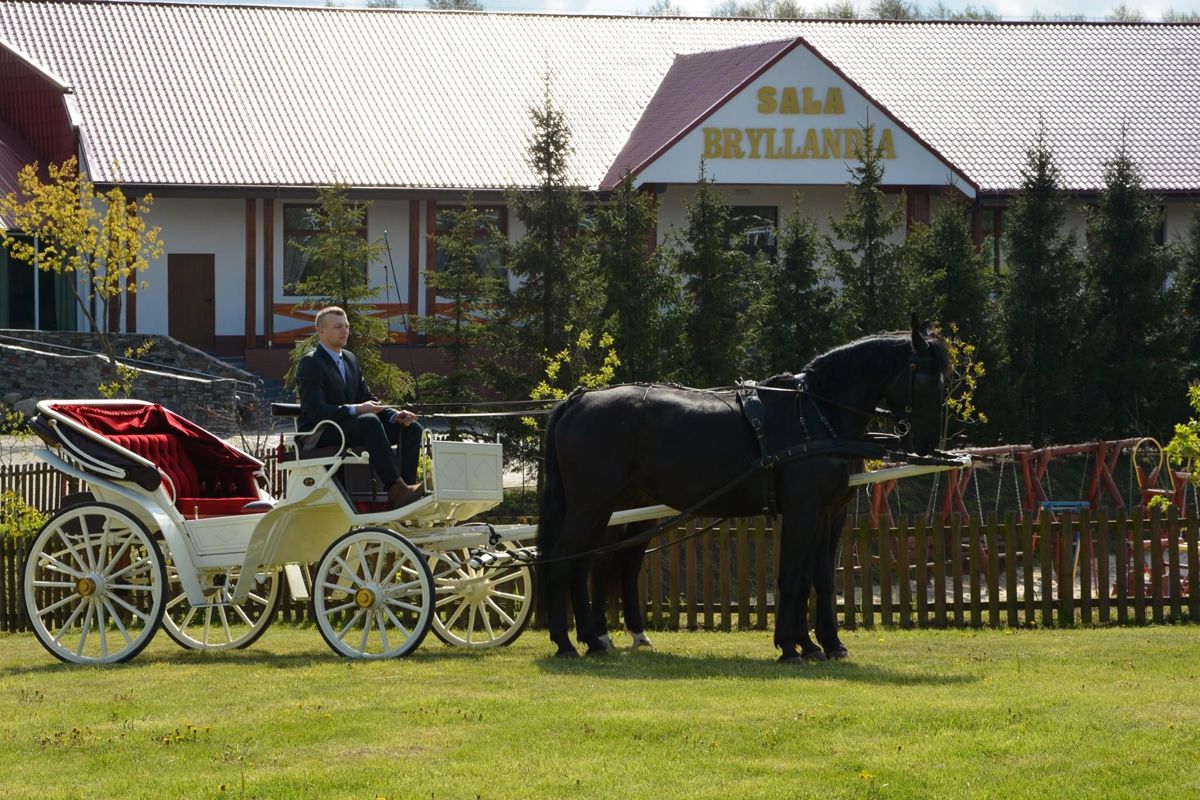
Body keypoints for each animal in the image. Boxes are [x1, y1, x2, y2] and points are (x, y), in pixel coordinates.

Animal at [535, 319, 945, 662]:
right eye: (927, 380)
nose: (928, 442)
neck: (815, 415)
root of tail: (578, 399)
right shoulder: (802, 510)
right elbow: (793, 577)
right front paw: (790, 647)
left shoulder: (830, 512)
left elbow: (820, 579)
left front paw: (824, 644)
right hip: (590, 505)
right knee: (562, 561)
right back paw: (566, 643)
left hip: (608, 507)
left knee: (588, 564)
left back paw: (593, 639)